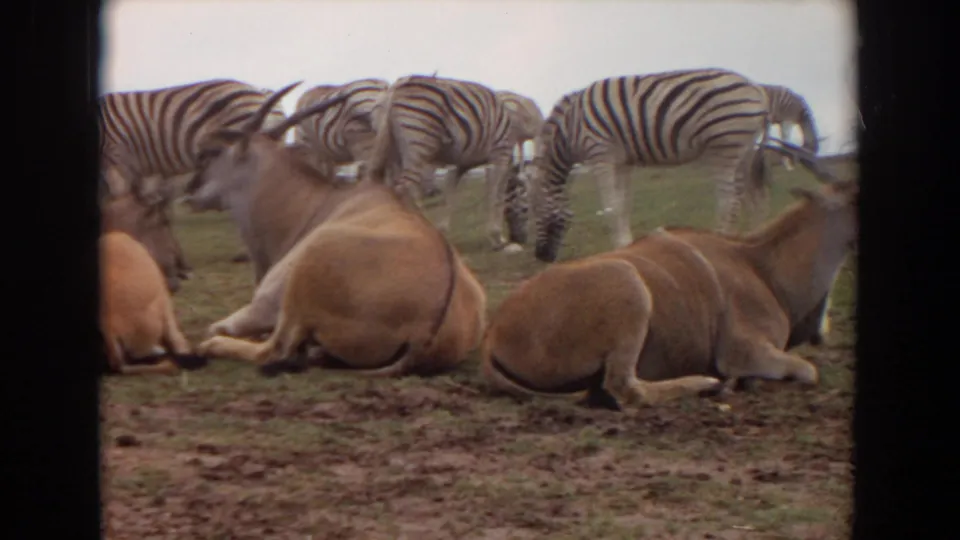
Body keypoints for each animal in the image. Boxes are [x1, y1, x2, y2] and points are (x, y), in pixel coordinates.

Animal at [363, 73, 522, 251]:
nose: (519, 239)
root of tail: (394, 89)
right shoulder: (500, 153)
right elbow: (496, 196)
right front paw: (497, 239)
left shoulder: (461, 164)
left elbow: (451, 196)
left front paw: (444, 231)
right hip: (418, 145)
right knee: (404, 189)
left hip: (392, 150)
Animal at [528, 68, 771, 263]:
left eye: (537, 212)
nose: (540, 256)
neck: (570, 130)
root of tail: (757, 90)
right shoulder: (623, 162)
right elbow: (623, 206)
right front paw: (626, 245)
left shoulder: (600, 155)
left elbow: (611, 208)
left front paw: (619, 247)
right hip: (745, 150)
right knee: (754, 198)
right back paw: (753, 238)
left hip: (725, 146)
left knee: (729, 202)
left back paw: (720, 241)